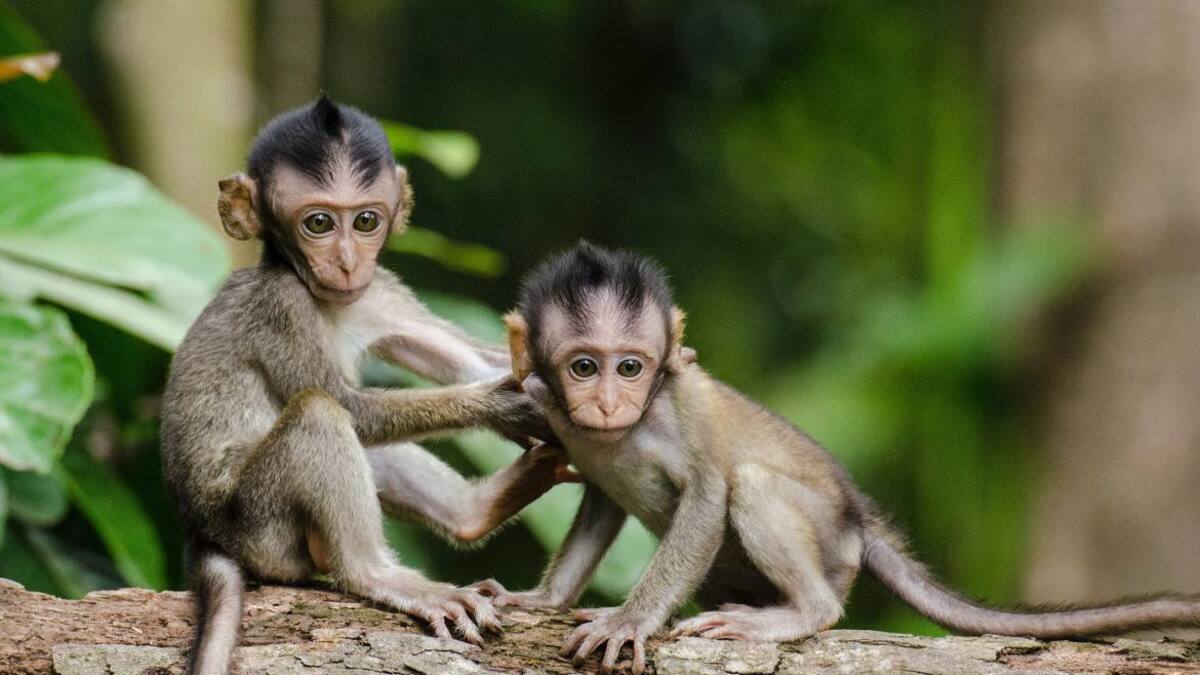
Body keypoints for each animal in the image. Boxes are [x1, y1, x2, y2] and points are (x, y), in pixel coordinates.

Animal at [161, 96, 570, 675]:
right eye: (318, 223)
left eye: (366, 220)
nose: (348, 261)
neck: (324, 298)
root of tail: (201, 534)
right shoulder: (282, 306)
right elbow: (351, 407)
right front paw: (499, 404)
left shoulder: (380, 292)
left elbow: (471, 359)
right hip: (261, 529)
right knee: (319, 414)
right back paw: (375, 574)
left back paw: (474, 512)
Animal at [470, 242, 1200, 674]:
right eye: (584, 367)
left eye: (630, 366)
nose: (607, 402)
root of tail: (859, 520)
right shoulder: (554, 411)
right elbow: (599, 502)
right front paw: (542, 599)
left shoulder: (678, 406)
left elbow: (708, 495)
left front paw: (629, 619)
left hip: (829, 543)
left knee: (754, 487)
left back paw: (803, 612)